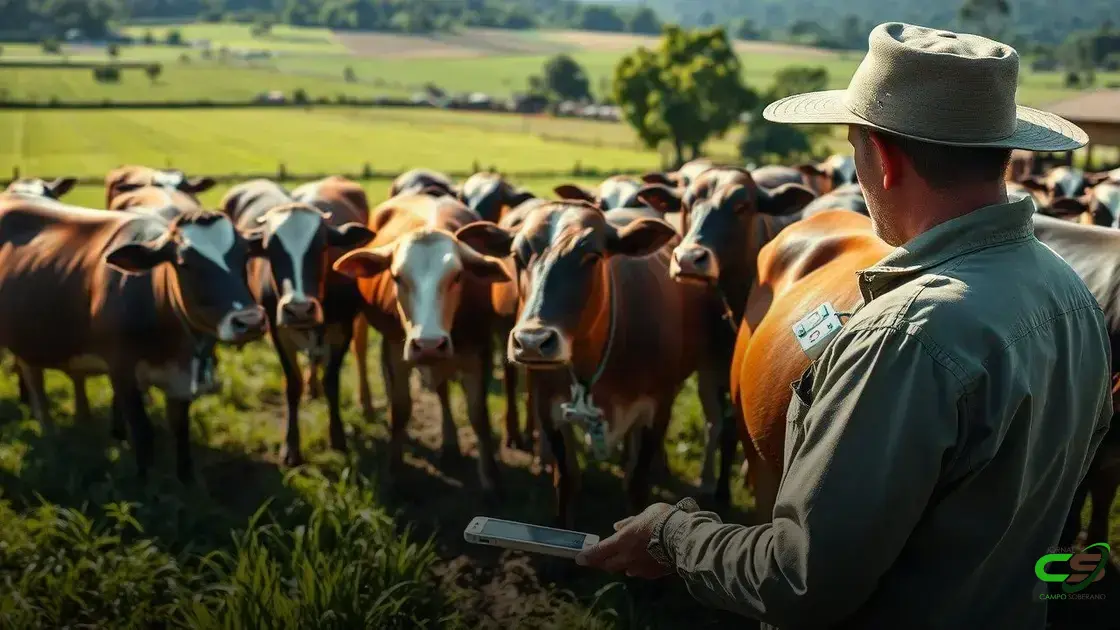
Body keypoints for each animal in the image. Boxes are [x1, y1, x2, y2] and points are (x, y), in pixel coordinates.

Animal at [0, 195, 267, 481]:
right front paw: (144, 482)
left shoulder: (181, 380)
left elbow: (180, 431)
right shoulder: (121, 370)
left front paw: (186, 480)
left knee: (33, 373)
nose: (250, 321)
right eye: (184, 263)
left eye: (244, 255)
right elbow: (142, 434)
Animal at [220, 178, 374, 467]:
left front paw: (337, 437)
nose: (299, 309)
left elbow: (332, 381)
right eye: (270, 250)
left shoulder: (343, 327)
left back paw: (365, 401)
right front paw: (291, 446)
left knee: (358, 351)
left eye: (322, 246)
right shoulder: (278, 330)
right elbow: (292, 384)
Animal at [333, 193, 511, 496]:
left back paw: (450, 444)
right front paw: (394, 473)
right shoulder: (396, 349)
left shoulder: (479, 350)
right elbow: (400, 409)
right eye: (396, 277)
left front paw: (491, 479)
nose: (428, 344)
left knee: (442, 389)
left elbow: (479, 416)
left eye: (458, 276)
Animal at [456, 200, 711, 528]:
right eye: (517, 256)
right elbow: (567, 481)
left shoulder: (657, 409)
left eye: (592, 256)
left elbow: (636, 483)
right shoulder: (550, 410)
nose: (532, 341)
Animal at [635, 167, 817, 502]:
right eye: (686, 204)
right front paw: (712, 484)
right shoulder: (710, 370)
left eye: (742, 206)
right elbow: (716, 424)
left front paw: (725, 490)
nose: (689, 258)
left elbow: (732, 427)